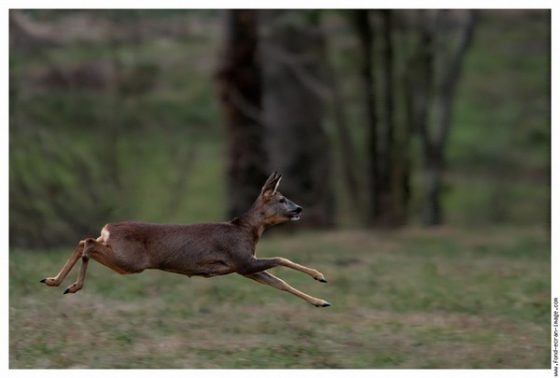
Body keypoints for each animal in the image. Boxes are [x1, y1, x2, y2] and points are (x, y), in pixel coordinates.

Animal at [41, 171, 330, 308]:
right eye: (282, 199)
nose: (300, 208)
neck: (246, 230)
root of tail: (108, 227)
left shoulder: (244, 267)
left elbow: (280, 283)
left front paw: (321, 301)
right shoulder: (241, 259)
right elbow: (282, 258)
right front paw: (320, 276)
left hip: (121, 257)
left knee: (86, 242)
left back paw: (55, 281)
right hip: (129, 261)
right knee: (87, 243)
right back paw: (66, 284)